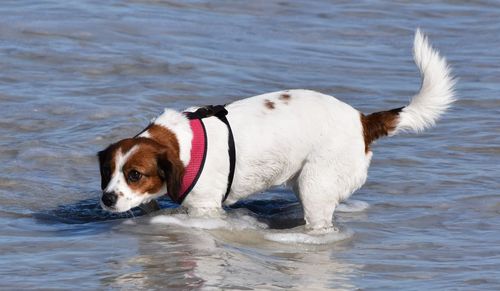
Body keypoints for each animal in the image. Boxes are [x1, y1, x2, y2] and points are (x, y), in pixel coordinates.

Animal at [96, 29, 454, 230]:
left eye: (135, 174)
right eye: (109, 172)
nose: (107, 199)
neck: (182, 145)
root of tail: (362, 120)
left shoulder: (205, 207)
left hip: (315, 187)